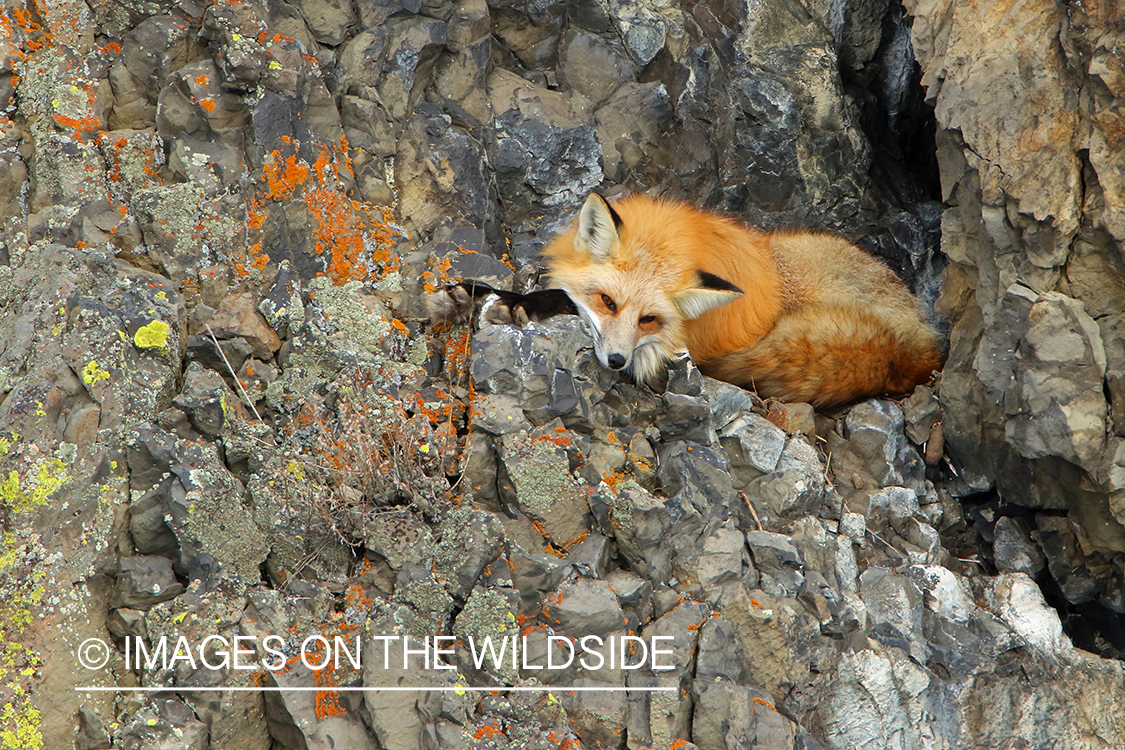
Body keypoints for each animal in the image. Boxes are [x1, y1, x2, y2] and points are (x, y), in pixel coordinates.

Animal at [429, 191, 940, 407]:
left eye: (649, 320)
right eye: (609, 302)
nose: (615, 361)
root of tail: (924, 345)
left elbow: (561, 296)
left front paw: (517, 304)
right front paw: (470, 294)